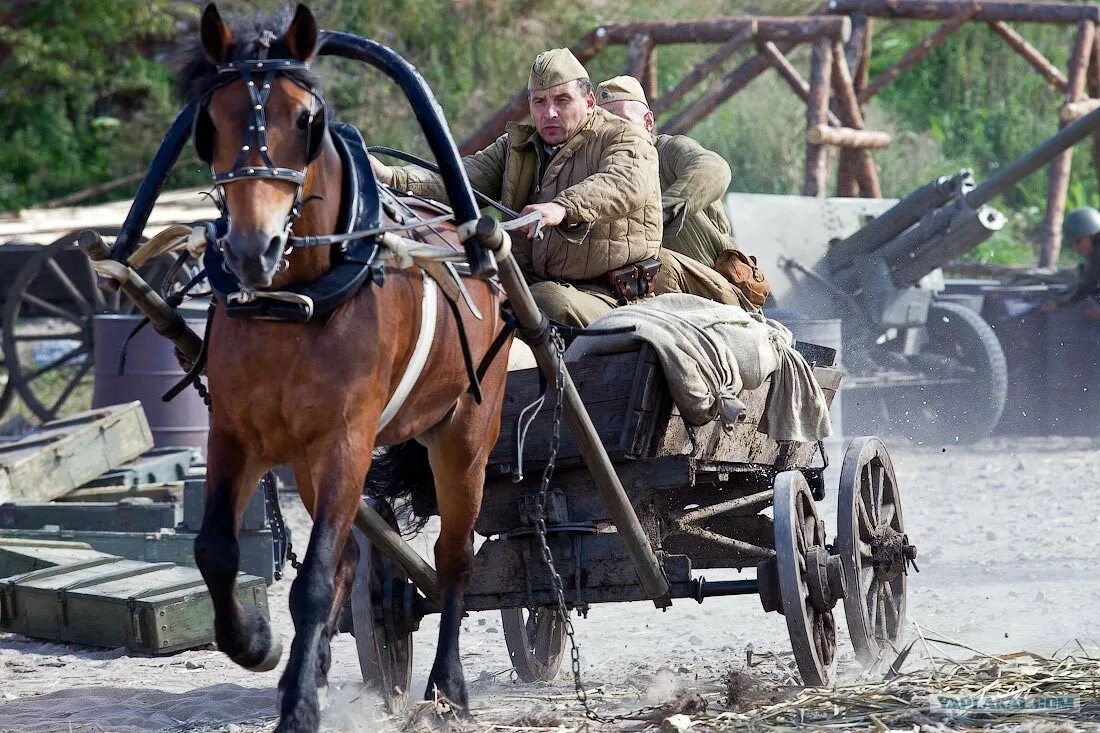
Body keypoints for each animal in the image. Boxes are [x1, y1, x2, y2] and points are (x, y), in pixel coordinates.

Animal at [180, 5, 510, 730]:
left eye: (307, 120)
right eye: (209, 121)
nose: (253, 248)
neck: (291, 302)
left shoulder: (347, 440)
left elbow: (314, 580)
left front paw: (300, 706)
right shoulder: (235, 433)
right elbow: (216, 550)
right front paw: (257, 642)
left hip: (465, 435)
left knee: (453, 560)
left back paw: (446, 688)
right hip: (309, 460)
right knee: (358, 561)